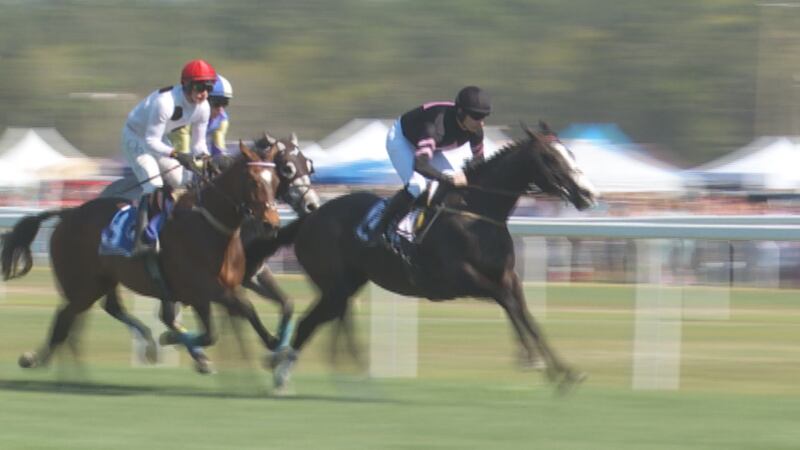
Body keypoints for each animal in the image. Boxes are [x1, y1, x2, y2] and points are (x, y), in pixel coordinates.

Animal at [1, 141, 284, 372]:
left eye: (276, 181)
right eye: (254, 182)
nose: (271, 223)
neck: (210, 225)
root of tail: (67, 213)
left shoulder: (210, 292)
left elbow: (219, 326)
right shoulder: (205, 288)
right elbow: (232, 316)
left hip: (101, 281)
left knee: (94, 314)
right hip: (82, 285)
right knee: (65, 322)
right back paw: (37, 360)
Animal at [269, 121, 598, 392]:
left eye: (571, 153)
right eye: (551, 158)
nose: (588, 194)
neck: (476, 212)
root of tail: (310, 217)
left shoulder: (507, 276)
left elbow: (527, 315)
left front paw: (564, 373)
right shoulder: (461, 279)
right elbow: (509, 304)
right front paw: (534, 361)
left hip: (345, 285)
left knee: (321, 322)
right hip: (334, 286)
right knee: (313, 323)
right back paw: (289, 375)